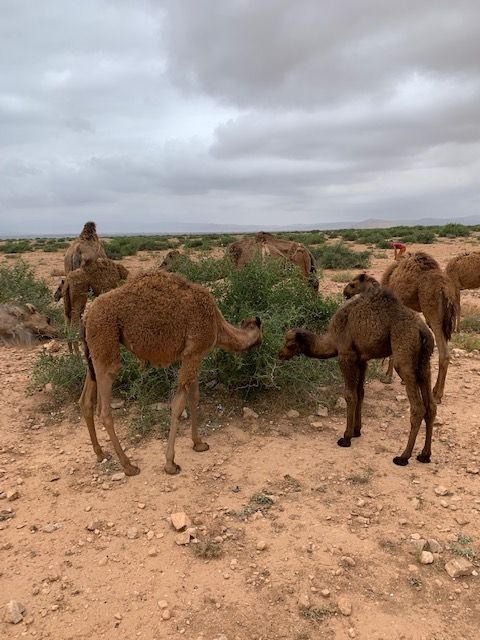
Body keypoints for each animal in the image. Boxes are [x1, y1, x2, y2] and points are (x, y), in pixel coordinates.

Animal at [81, 270, 264, 476]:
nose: (262, 344)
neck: (218, 326)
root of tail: (86, 317)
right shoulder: (194, 352)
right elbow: (178, 405)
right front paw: (170, 463)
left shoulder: (194, 356)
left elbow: (194, 397)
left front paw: (199, 443)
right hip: (106, 346)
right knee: (104, 410)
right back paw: (128, 466)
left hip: (95, 354)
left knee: (85, 401)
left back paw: (101, 454)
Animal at [280, 276, 436, 464]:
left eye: (289, 343)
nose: (280, 354)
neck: (332, 339)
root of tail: (423, 330)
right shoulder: (362, 360)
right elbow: (360, 392)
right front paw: (357, 431)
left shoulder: (345, 355)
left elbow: (349, 395)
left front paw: (346, 437)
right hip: (424, 364)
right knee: (431, 405)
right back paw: (424, 455)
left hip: (404, 355)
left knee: (417, 407)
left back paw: (403, 457)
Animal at [368, 252, 458, 402]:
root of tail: (446, 290)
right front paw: (402, 379)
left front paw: (387, 377)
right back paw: (436, 391)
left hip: (432, 312)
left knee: (444, 352)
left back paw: (437, 395)